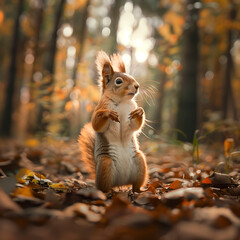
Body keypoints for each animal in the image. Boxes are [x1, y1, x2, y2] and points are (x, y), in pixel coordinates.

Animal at [78, 51, 148, 193]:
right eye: (119, 81)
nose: (137, 86)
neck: (121, 102)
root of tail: (121, 183)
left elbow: (135, 126)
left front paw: (139, 112)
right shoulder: (99, 108)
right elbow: (96, 124)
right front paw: (108, 114)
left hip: (140, 161)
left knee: (136, 185)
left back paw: (139, 190)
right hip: (106, 164)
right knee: (104, 187)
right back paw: (108, 191)